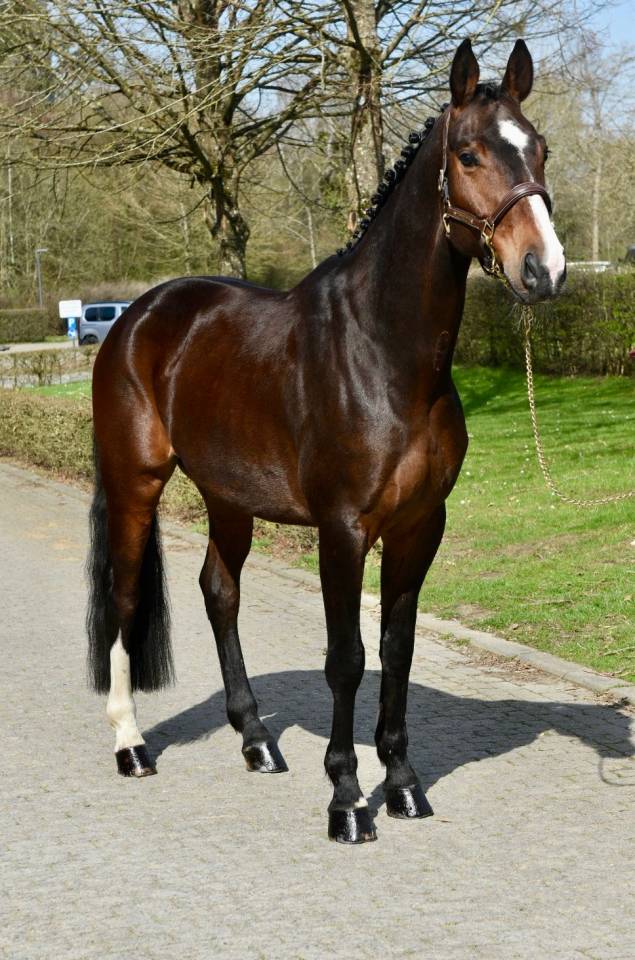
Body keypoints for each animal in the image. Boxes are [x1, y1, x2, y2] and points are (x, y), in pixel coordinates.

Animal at [87, 38, 566, 844]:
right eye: (468, 154)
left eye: (539, 150)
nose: (545, 270)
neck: (384, 356)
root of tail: (138, 316)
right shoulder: (343, 530)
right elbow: (346, 657)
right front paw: (346, 799)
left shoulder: (419, 527)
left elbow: (397, 652)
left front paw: (401, 785)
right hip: (136, 482)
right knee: (124, 599)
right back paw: (128, 744)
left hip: (228, 498)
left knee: (219, 591)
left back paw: (256, 740)